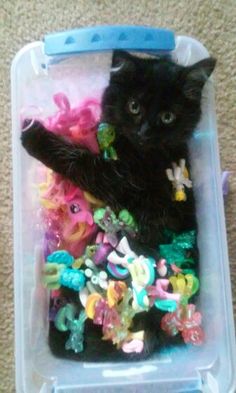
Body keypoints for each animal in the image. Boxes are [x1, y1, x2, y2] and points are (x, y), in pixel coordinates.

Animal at [21, 49, 216, 358]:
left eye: (168, 116)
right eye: (134, 106)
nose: (144, 131)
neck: (143, 151)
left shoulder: (121, 181)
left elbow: (80, 161)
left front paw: (32, 133)